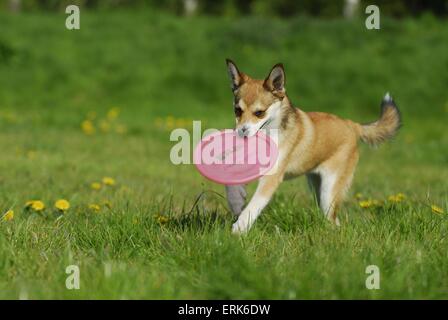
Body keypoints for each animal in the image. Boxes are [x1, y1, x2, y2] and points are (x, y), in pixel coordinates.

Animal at [226, 60, 400, 234]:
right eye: (237, 110)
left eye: (259, 113)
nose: (241, 132)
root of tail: (352, 125)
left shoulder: (271, 177)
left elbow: (255, 204)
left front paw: (239, 228)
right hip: (316, 186)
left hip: (329, 191)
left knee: (333, 219)